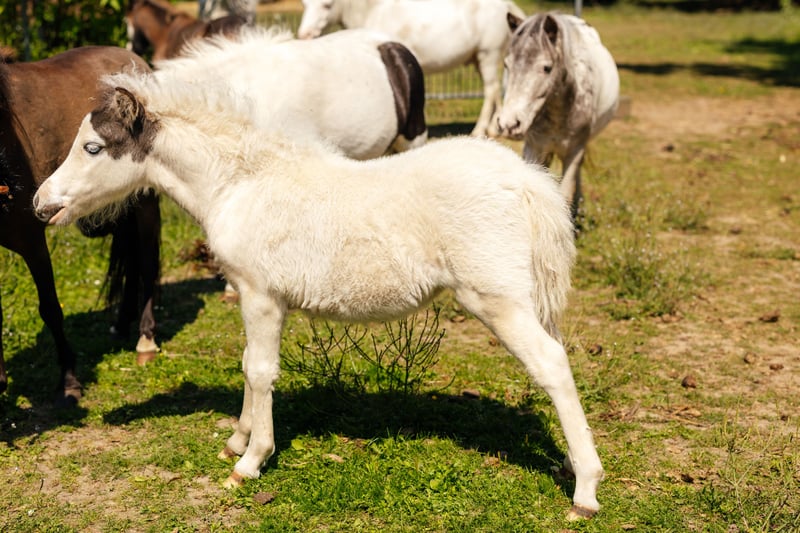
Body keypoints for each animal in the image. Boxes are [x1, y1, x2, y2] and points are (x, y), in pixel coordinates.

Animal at [0, 46, 160, 407]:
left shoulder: (31, 239)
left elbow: (50, 308)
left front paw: (69, 381)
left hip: (144, 200)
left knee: (147, 258)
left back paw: (145, 337)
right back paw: (122, 323)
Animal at [33, 71, 604, 519]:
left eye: (92, 147)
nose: (42, 205)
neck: (240, 184)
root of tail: (526, 180)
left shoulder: (261, 295)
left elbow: (261, 372)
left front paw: (250, 462)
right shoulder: (253, 297)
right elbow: (248, 365)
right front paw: (236, 441)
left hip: (496, 300)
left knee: (552, 365)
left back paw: (585, 491)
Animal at [296, 0, 525, 138]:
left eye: (327, 5)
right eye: (305, 4)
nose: (304, 35)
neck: (374, 11)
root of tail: (505, 5)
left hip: (488, 55)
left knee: (491, 91)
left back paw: (480, 130)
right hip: (479, 59)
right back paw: (493, 128)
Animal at [497, 12, 619, 221]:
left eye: (547, 68)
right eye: (507, 65)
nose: (509, 124)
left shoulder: (574, 150)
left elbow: (565, 193)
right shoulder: (534, 148)